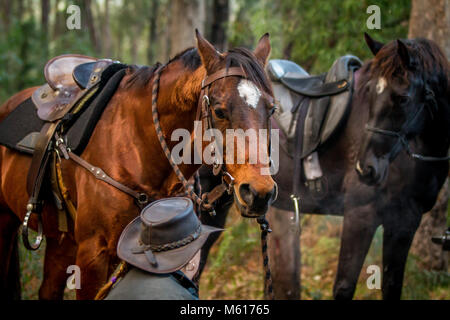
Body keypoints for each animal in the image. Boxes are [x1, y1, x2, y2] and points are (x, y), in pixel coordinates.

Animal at [0, 31, 276, 298]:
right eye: (219, 111)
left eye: (272, 109)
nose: (259, 192)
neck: (137, 146)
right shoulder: (93, 253)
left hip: (61, 241)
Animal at [198, 35, 450, 300]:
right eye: (369, 94)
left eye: (403, 99)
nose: (367, 168)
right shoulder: (361, 215)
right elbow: (344, 286)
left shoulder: (404, 223)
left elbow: (392, 286)